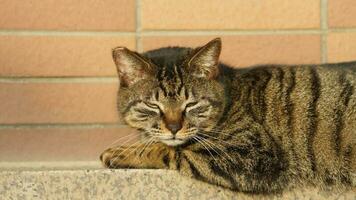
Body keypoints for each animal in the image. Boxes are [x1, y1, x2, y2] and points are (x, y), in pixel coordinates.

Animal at [101, 38, 356, 194]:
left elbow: (173, 150)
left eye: (191, 104)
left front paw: (122, 153)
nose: (173, 127)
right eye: (153, 105)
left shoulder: (252, 155)